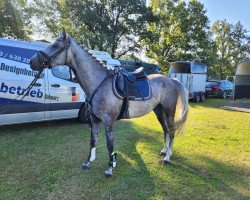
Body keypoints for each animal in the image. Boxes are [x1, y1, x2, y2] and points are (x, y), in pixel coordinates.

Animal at [29, 29, 188, 177]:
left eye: (55, 45)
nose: (31, 62)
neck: (98, 82)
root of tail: (171, 80)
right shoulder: (94, 120)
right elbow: (93, 141)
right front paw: (88, 162)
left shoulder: (108, 121)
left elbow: (109, 144)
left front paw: (110, 167)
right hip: (158, 111)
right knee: (165, 130)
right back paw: (163, 151)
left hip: (169, 111)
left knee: (171, 131)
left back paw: (167, 158)